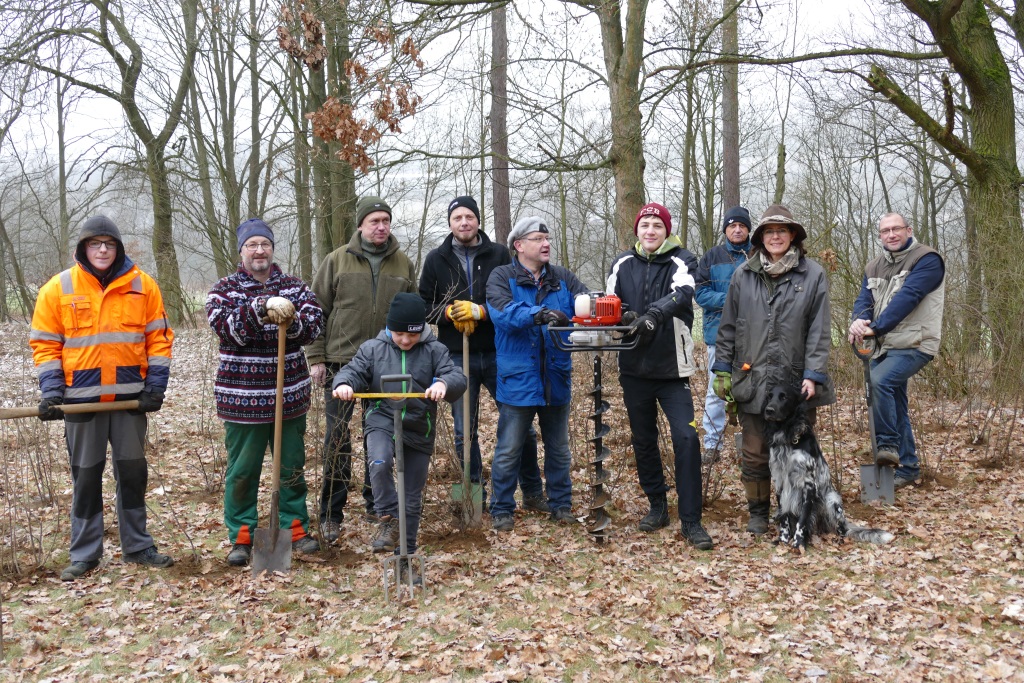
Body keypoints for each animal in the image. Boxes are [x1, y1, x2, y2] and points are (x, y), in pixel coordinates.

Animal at [761, 385, 897, 548]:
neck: (788, 441)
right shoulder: (780, 483)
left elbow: (802, 521)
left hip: (832, 499)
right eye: (769, 396)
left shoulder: (808, 486)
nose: (768, 410)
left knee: (842, 530)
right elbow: (784, 518)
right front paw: (782, 540)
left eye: (784, 397)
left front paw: (798, 543)